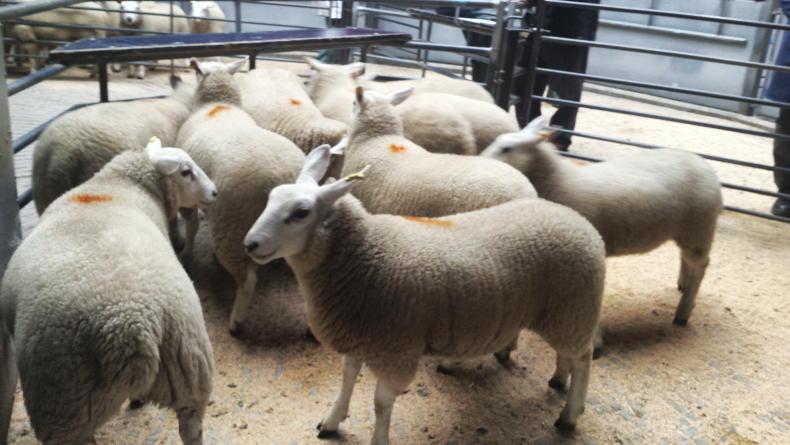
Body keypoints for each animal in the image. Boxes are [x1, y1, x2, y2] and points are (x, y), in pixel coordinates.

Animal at [0, 138, 217, 445]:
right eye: (186, 172)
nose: (215, 192)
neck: (116, 186)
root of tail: (135, 324)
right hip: (190, 367)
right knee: (191, 427)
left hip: (62, 403)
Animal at [175, 100, 305, 336]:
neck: (217, 105)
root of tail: (280, 177)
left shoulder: (187, 198)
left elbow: (191, 226)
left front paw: (186, 254)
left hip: (233, 229)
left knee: (247, 282)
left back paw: (236, 321)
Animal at [242, 146, 607, 442]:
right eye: (271, 198)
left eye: (301, 212)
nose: (250, 244)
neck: (364, 256)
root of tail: (578, 220)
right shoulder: (358, 335)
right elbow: (347, 380)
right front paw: (331, 421)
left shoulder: (396, 350)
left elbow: (380, 403)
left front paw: (378, 439)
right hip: (563, 313)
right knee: (569, 354)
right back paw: (558, 379)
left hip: (573, 308)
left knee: (584, 356)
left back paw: (570, 414)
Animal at [480, 117, 723, 329]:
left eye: (507, 149)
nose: (480, 162)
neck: (560, 182)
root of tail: (709, 171)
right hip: (687, 231)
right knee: (686, 259)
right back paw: (683, 285)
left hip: (700, 228)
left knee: (701, 265)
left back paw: (683, 311)